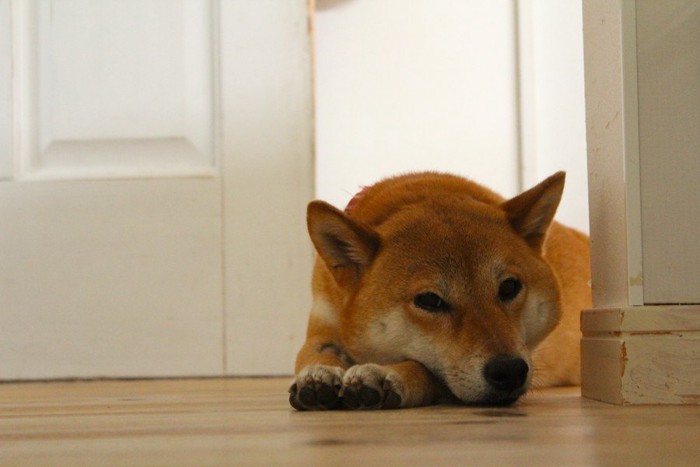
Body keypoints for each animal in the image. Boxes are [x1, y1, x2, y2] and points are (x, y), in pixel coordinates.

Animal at [290, 172, 592, 410]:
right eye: (429, 300)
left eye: (509, 287)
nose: (509, 370)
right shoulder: (323, 324)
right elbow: (316, 354)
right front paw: (316, 374)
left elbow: (423, 368)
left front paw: (386, 375)